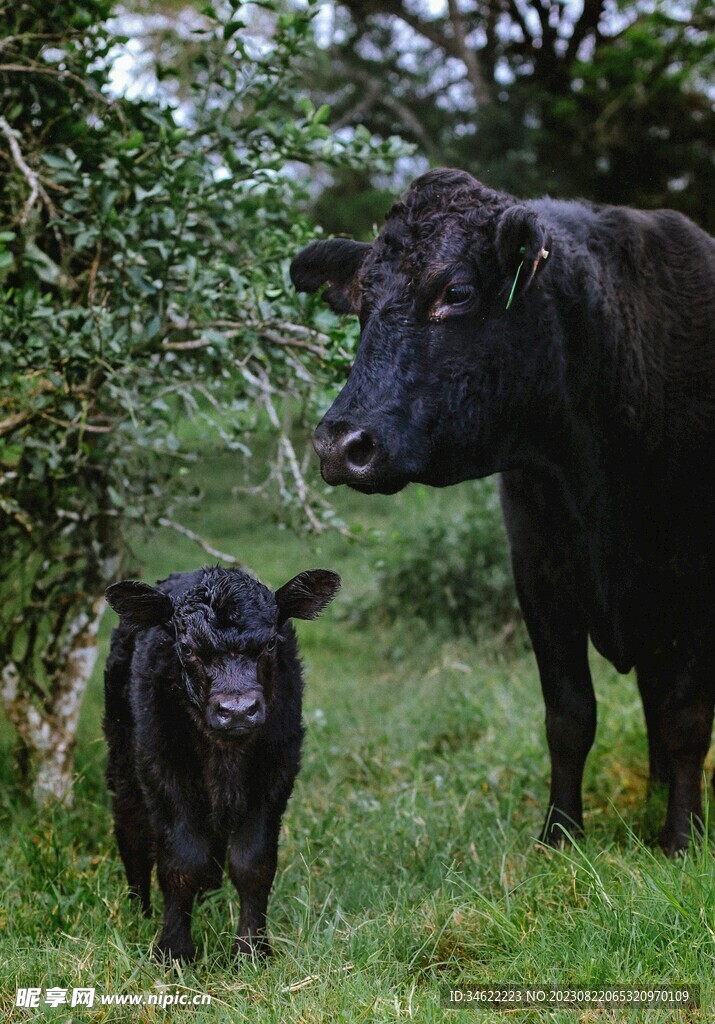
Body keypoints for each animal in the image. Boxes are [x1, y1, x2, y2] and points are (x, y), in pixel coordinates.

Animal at [102, 569, 340, 958]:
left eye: (270, 644)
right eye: (186, 649)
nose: (238, 710)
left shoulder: (278, 772)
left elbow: (253, 864)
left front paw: (252, 951)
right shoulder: (162, 769)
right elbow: (182, 861)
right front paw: (174, 951)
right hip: (123, 757)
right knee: (132, 827)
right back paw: (140, 911)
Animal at [290, 169, 712, 856]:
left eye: (456, 291)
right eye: (361, 302)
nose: (338, 445)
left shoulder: (697, 587)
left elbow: (687, 716)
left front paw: (682, 838)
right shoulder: (539, 576)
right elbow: (570, 715)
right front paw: (560, 834)